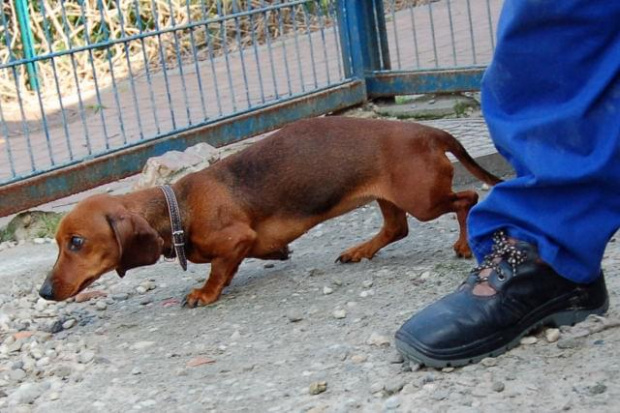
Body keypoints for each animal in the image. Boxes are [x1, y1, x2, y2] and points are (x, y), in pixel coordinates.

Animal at [38, 116, 502, 306]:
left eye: (76, 242)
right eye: (58, 244)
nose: (43, 292)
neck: (176, 209)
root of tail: (428, 131)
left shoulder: (233, 240)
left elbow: (219, 269)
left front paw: (204, 293)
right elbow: (260, 249)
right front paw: (277, 252)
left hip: (423, 199)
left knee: (467, 199)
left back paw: (464, 243)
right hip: (391, 198)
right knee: (396, 229)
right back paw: (360, 251)